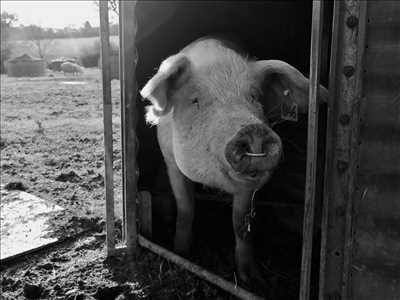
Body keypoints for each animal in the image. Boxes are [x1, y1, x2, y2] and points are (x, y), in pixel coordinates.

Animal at [139, 38, 326, 288]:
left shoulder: (248, 186)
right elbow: (186, 207)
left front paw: (252, 280)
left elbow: (241, 223)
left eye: (254, 96)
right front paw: (182, 254)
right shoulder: (172, 163)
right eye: (195, 100)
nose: (253, 130)